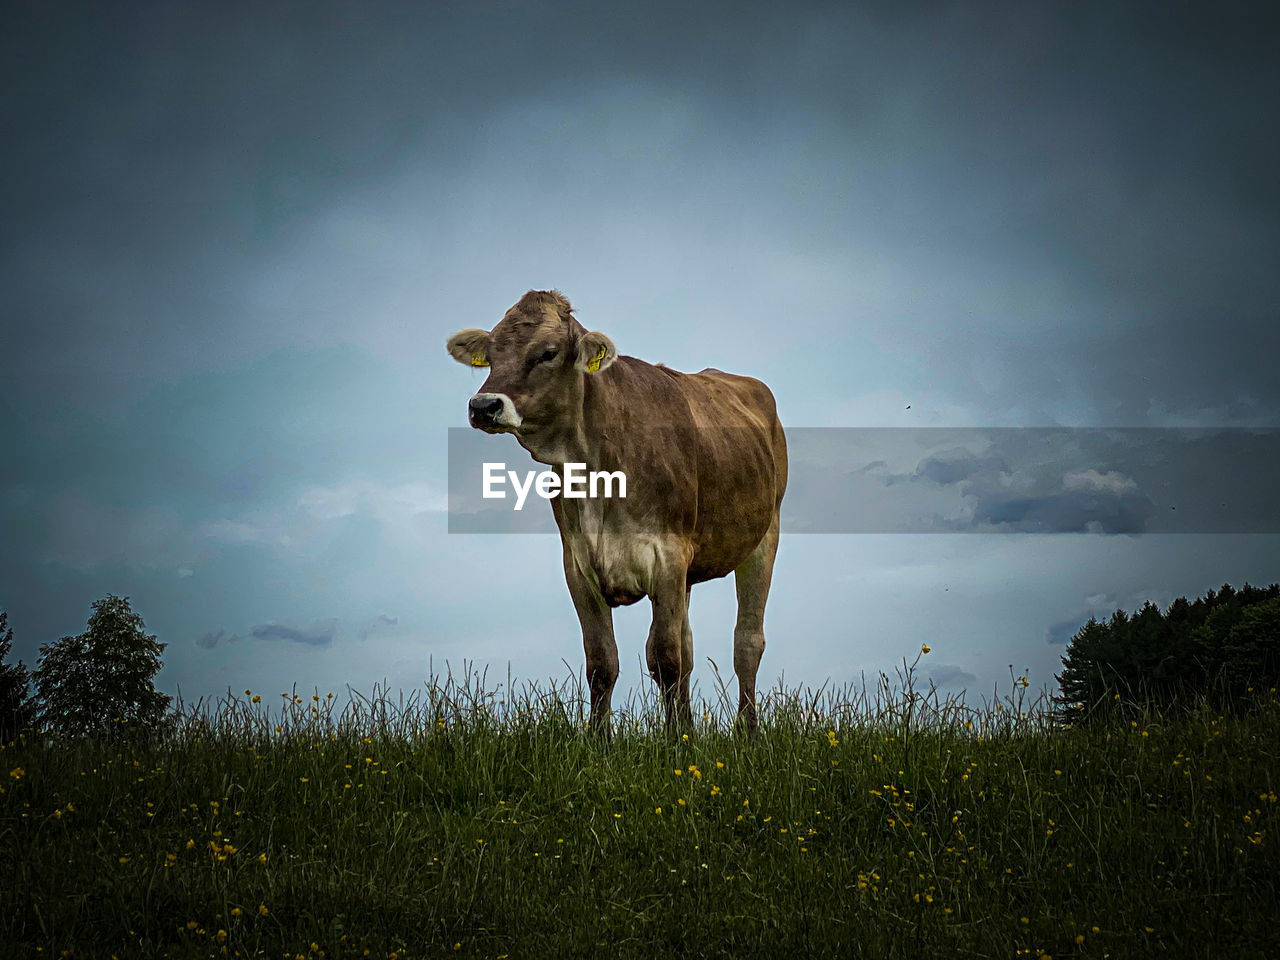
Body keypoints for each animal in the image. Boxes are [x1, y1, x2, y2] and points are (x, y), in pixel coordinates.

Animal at [450, 289, 788, 732]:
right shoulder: (578, 566)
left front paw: (677, 741)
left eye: (548, 352)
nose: (484, 405)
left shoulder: (667, 556)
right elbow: (602, 662)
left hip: (763, 538)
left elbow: (665, 659)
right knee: (689, 645)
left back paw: (747, 731)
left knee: (746, 642)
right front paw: (600, 739)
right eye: (490, 353)